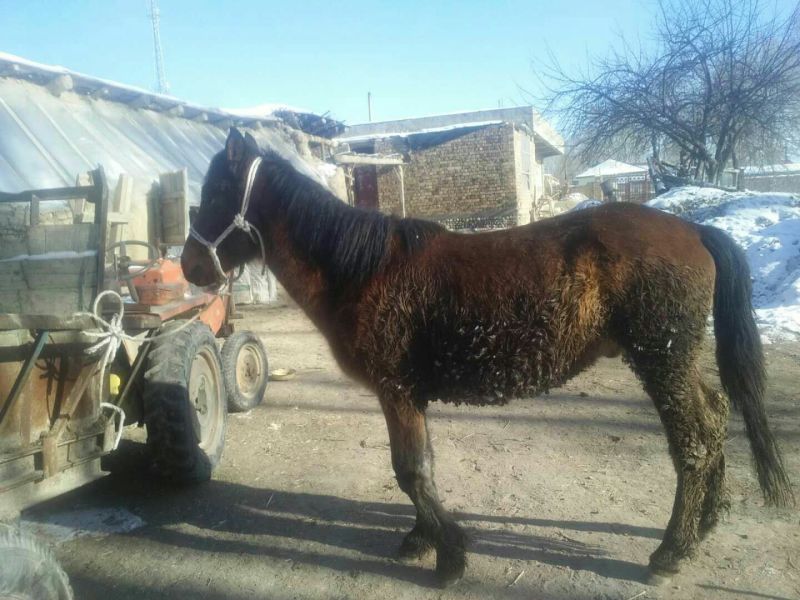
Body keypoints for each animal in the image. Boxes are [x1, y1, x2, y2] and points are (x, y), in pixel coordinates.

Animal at [181, 128, 793, 587]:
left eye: (214, 194)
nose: (189, 266)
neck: (362, 269)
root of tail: (693, 228)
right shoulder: (407, 397)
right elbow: (421, 468)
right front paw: (422, 540)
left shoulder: (395, 391)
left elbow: (410, 471)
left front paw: (450, 556)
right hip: (677, 362)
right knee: (715, 419)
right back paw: (704, 527)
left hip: (660, 362)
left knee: (694, 443)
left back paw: (671, 552)